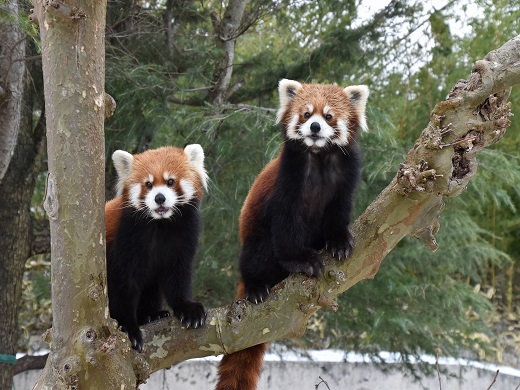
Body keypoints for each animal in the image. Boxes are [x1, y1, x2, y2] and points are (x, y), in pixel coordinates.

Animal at [104, 145, 208, 352]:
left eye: (170, 181)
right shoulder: (125, 239)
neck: (160, 224)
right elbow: (122, 285)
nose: (160, 198)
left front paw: (186, 308)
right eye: (149, 184)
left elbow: (177, 275)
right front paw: (127, 326)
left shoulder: (183, 237)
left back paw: (151, 315)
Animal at [215, 77, 370, 388]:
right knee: (257, 254)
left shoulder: (346, 175)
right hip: (255, 239)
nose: (315, 127)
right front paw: (301, 260)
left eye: (328, 116)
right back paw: (257, 285)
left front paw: (339, 242)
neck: (320, 157)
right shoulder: (289, 178)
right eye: (306, 114)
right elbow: (286, 227)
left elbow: (338, 213)